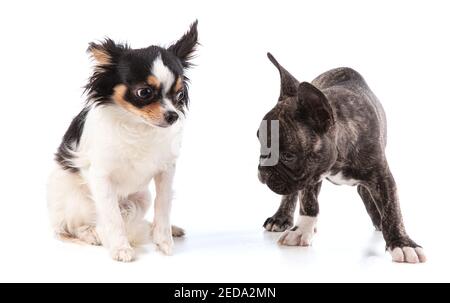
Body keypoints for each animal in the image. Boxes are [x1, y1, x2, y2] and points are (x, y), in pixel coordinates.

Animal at [47, 22, 199, 264]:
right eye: (144, 92)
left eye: (179, 94)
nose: (173, 115)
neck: (138, 126)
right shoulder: (101, 177)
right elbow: (112, 216)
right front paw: (120, 247)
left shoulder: (166, 171)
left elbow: (163, 205)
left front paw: (164, 239)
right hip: (76, 201)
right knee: (73, 227)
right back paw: (92, 233)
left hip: (142, 197)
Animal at [256, 53, 426, 264]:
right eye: (260, 143)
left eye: (288, 156)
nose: (262, 168)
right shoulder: (311, 175)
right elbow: (309, 202)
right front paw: (302, 230)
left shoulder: (381, 176)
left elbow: (392, 209)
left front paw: (402, 244)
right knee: (292, 194)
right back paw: (281, 218)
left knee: (364, 191)